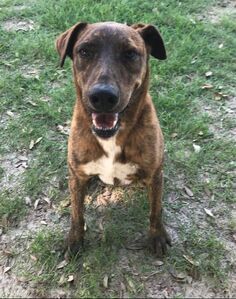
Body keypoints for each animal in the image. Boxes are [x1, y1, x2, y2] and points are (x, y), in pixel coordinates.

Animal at [56, 21, 171, 258]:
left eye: (130, 54)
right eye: (84, 51)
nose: (102, 96)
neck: (112, 136)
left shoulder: (155, 174)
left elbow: (155, 210)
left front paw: (156, 235)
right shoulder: (76, 175)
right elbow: (76, 213)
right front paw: (75, 239)